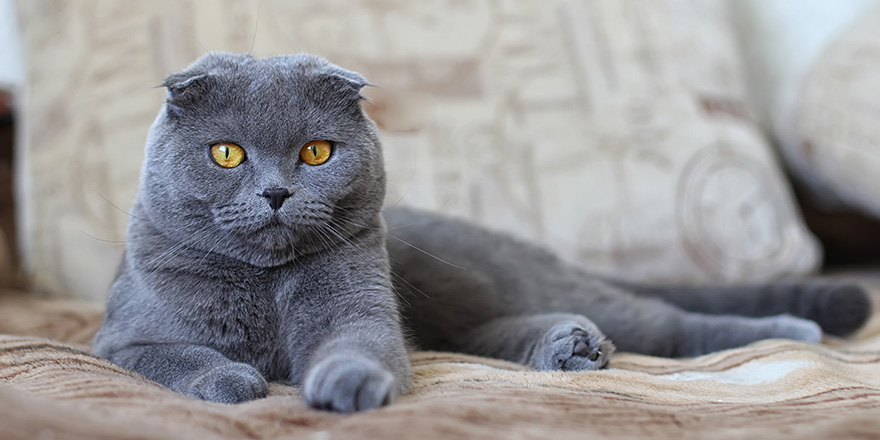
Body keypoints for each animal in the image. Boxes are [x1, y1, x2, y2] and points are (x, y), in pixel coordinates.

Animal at [91, 53, 872, 414]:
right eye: (227, 154)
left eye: (316, 152)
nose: (277, 192)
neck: (267, 287)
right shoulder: (122, 340)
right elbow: (177, 356)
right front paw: (233, 378)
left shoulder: (360, 307)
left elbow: (359, 343)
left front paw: (347, 384)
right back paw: (569, 347)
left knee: (668, 324)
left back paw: (792, 330)